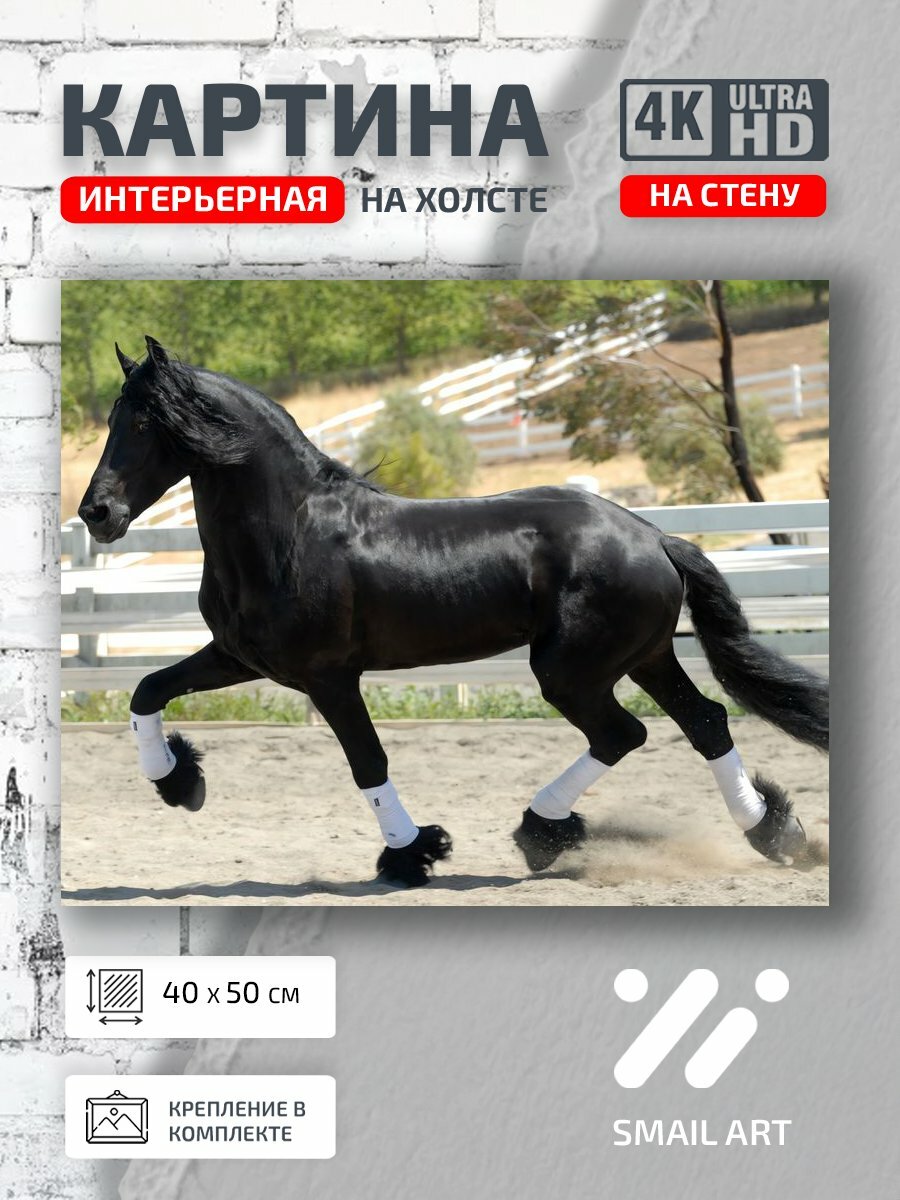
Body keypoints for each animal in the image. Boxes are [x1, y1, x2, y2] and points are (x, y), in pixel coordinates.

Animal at [77, 336, 828, 887]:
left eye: (143, 421)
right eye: (112, 419)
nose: (97, 513)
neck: (290, 529)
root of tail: (653, 536)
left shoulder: (328, 677)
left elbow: (368, 762)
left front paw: (412, 854)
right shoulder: (240, 658)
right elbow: (146, 690)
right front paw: (180, 782)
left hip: (572, 670)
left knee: (624, 734)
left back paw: (541, 833)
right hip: (644, 656)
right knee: (704, 723)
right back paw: (775, 833)